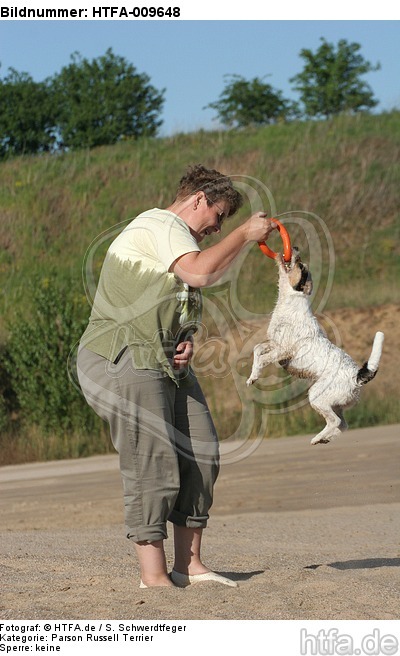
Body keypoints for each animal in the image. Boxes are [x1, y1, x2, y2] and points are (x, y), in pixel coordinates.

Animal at [245, 247, 382, 446]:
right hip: (336, 403)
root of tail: (357, 376)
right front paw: (251, 377)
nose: (295, 248)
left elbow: (263, 359)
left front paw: (255, 375)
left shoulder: (283, 351)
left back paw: (317, 438)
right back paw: (323, 438)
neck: (291, 301)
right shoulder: (274, 344)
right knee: (343, 424)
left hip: (317, 396)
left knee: (335, 421)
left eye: (300, 265)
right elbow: (257, 350)